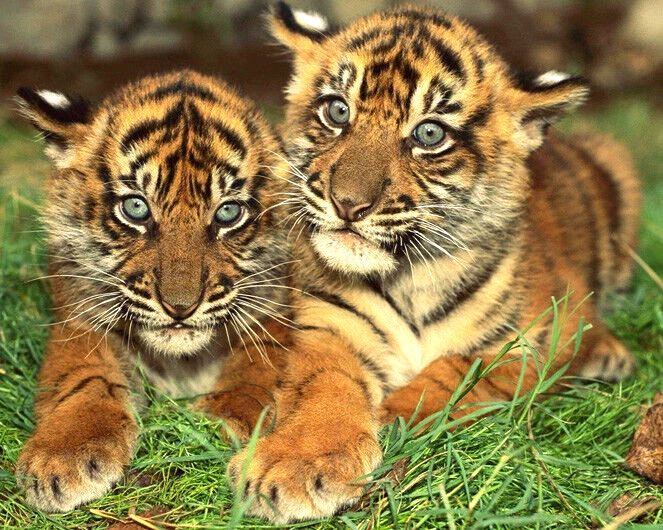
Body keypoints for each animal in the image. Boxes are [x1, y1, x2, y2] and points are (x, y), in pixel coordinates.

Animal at [14, 70, 293, 512]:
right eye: (136, 208)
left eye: (228, 212)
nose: (180, 308)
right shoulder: (79, 319)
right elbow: (84, 377)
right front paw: (63, 454)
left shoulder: (276, 314)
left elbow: (253, 371)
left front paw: (216, 422)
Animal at [227, 2, 642, 522]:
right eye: (337, 110)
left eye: (429, 133)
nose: (348, 204)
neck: (410, 277)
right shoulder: (330, 328)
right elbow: (324, 388)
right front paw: (298, 462)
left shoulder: (536, 336)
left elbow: (456, 372)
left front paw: (393, 417)